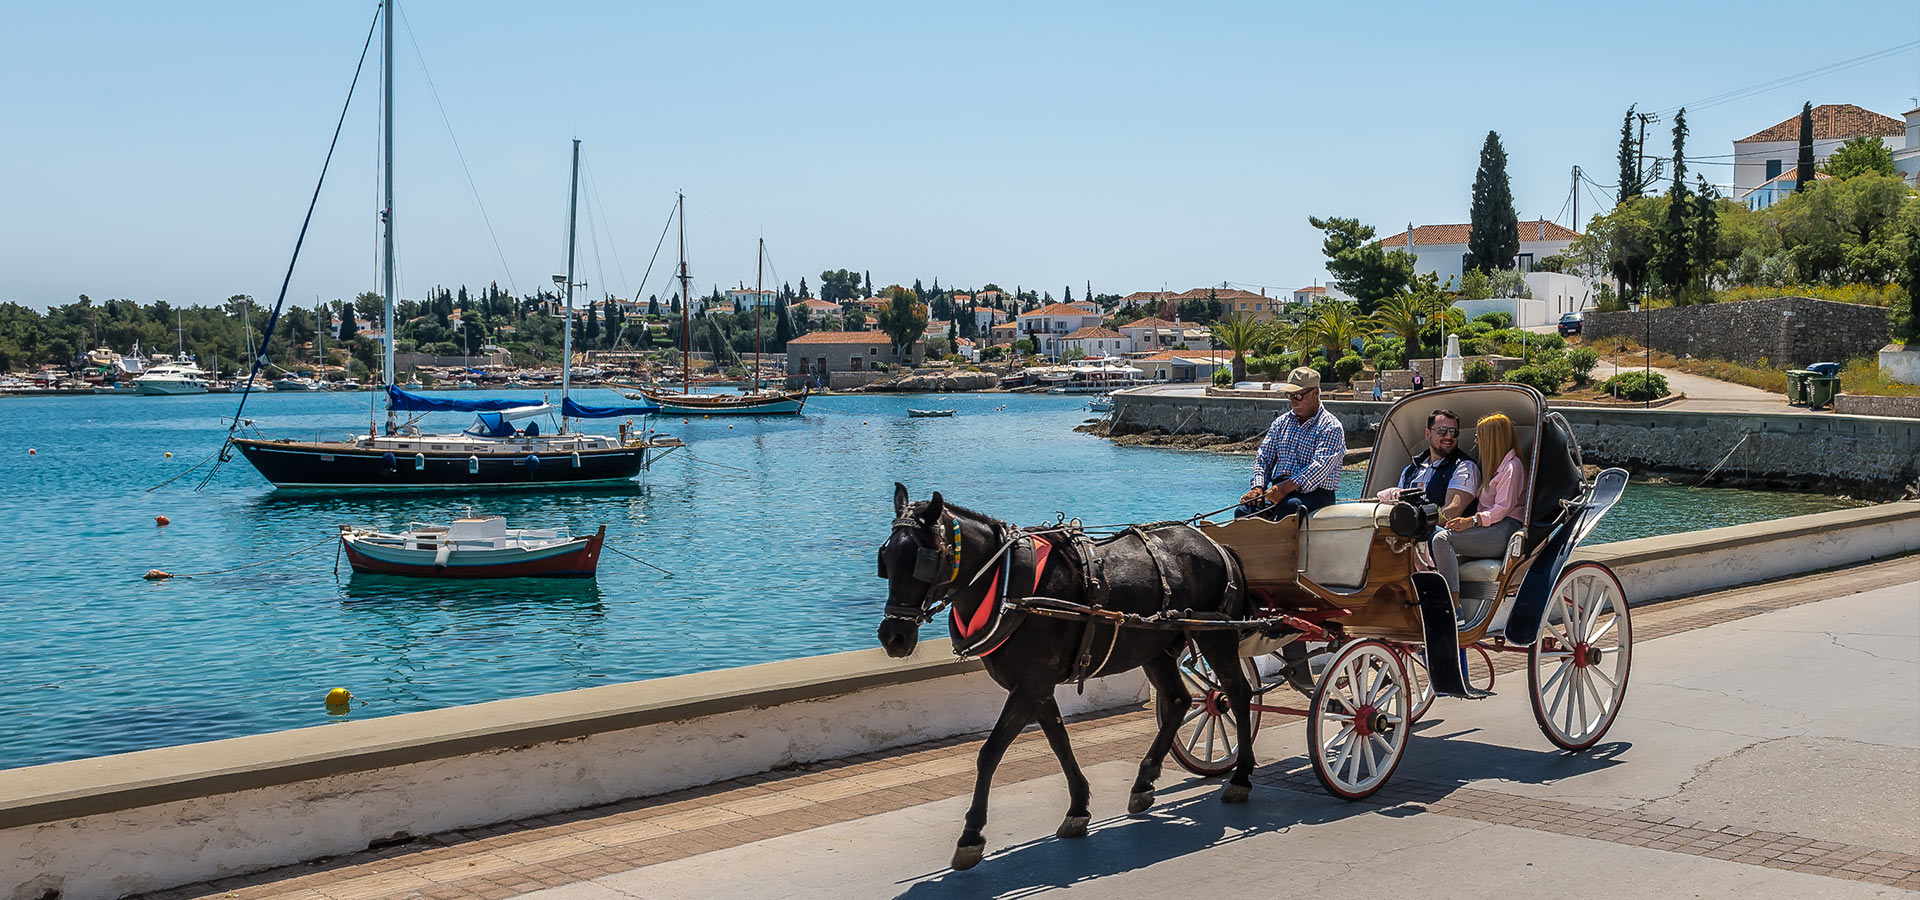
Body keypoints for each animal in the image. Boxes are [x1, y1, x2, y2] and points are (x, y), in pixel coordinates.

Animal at [875, 483, 1259, 871]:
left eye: (922, 559)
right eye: (886, 560)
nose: (893, 637)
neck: (1007, 583)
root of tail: (1215, 545)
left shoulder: (1029, 685)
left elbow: (990, 752)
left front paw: (971, 836)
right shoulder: (1038, 687)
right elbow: (1060, 742)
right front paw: (1077, 809)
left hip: (1216, 636)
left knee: (1238, 694)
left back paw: (1240, 777)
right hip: (1158, 649)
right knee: (1179, 700)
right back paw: (1144, 781)